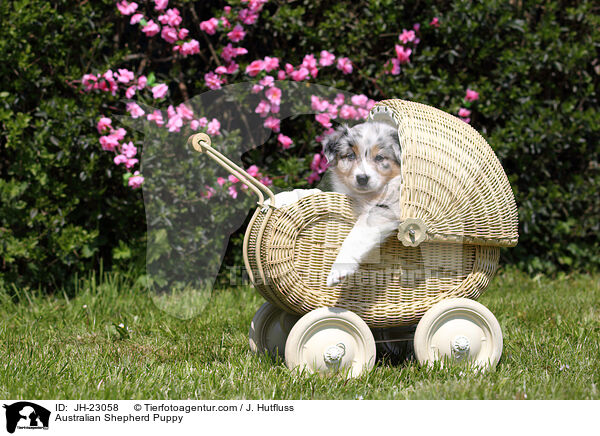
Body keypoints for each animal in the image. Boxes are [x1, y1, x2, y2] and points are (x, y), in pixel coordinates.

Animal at [324, 121, 404, 288]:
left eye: (380, 157)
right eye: (351, 155)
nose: (362, 178)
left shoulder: (385, 208)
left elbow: (356, 235)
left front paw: (338, 270)